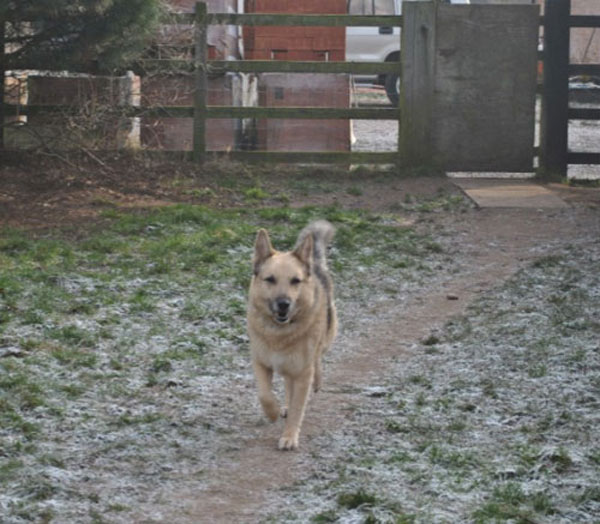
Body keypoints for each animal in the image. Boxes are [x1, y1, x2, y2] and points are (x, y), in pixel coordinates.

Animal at [245, 219, 338, 448]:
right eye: (270, 279)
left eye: (295, 281)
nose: (283, 304)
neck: (279, 333)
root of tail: (313, 264)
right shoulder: (261, 362)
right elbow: (265, 394)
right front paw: (273, 412)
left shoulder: (302, 372)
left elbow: (298, 407)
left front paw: (289, 437)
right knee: (288, 385)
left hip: (326, 337)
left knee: (318, 358)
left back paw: (318, 381)